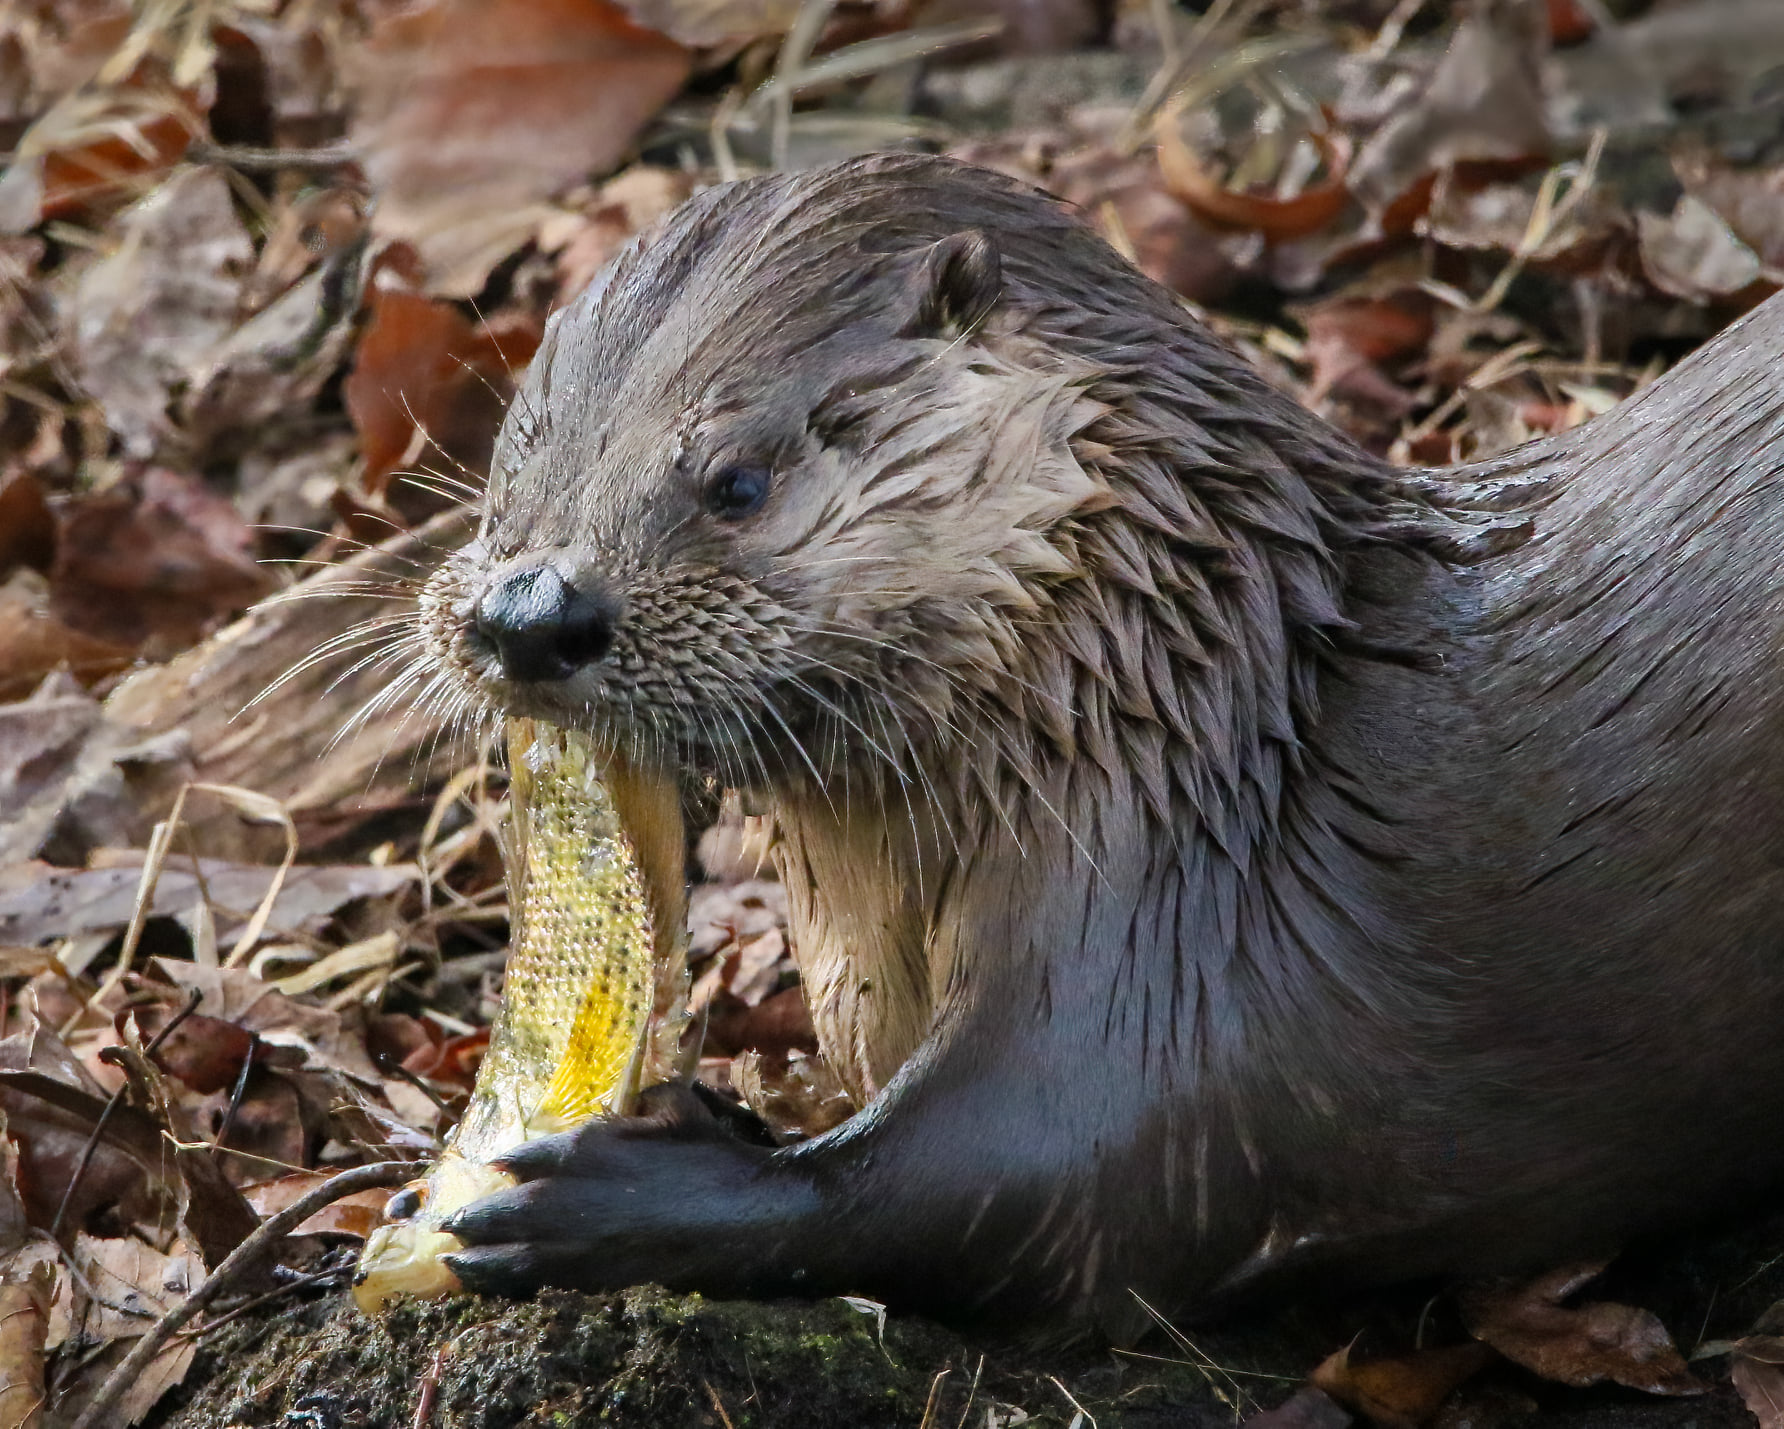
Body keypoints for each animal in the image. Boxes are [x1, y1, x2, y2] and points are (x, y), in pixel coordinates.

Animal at [421, 153, 1784, 1341]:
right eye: (512, 459)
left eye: (735, 481)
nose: (529, 613)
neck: (1174, 736)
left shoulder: (1155, 967)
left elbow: (990, 1185)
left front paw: (596, 1196)